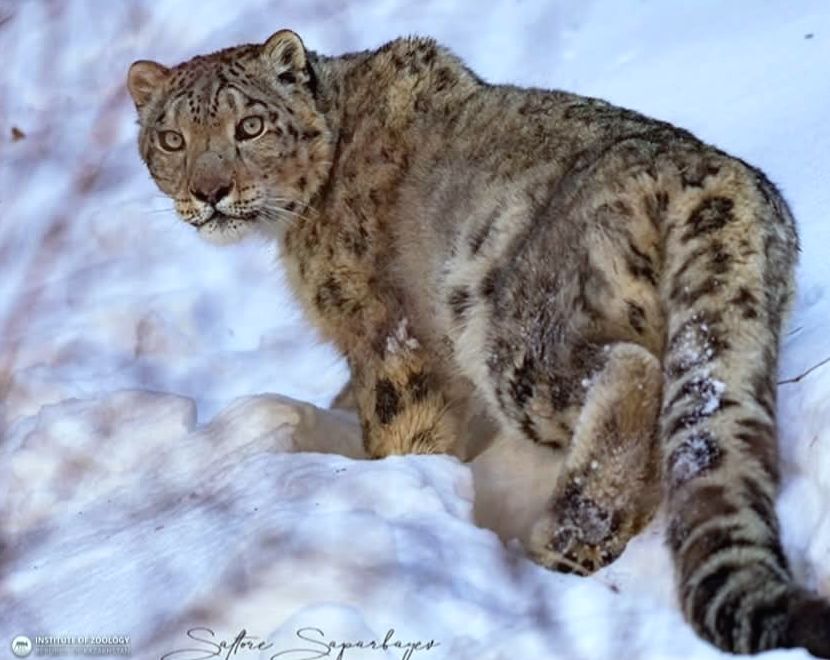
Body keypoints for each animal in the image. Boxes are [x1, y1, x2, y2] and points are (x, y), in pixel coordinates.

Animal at [127, 30, 830, 657]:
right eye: (171, 138)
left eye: (250, 126)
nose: (208, 192)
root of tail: (710, 177)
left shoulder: (383, 334)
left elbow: (399, 426)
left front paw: (391, 485)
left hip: (516, 329)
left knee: (626, 370)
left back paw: (567, 536)